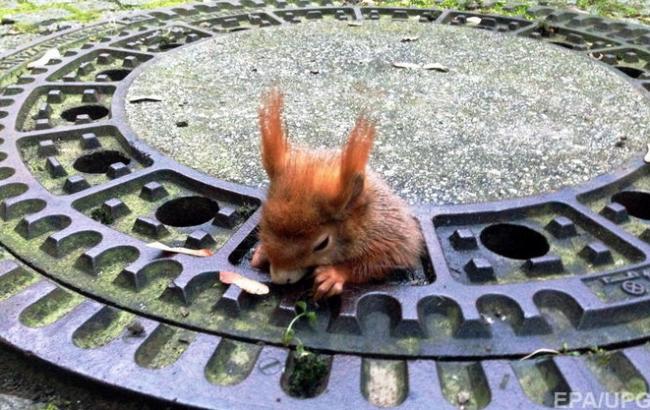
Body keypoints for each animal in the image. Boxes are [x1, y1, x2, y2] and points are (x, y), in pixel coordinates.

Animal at [251, 88, 424, 300]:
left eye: (322, 244)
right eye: (262, 221)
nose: (280, 278)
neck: (361, 219)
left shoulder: (387, 232)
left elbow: (381, 260)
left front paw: (332, 276)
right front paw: (260, 252)